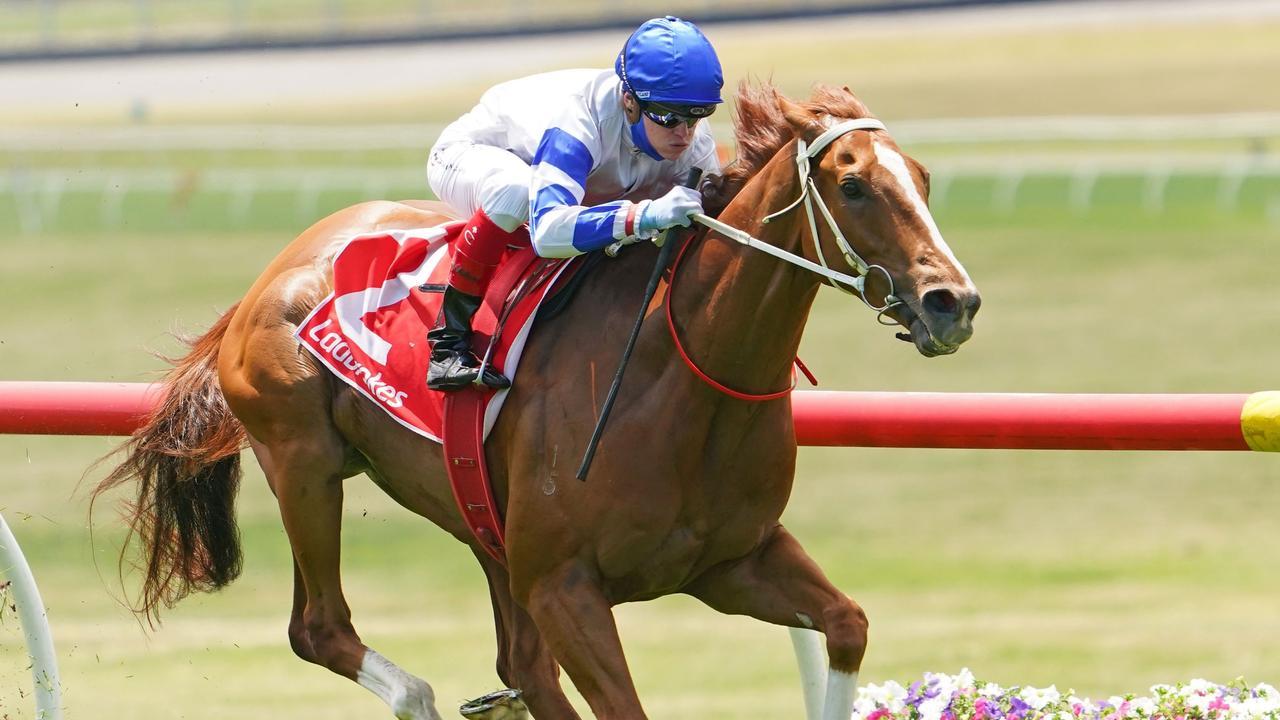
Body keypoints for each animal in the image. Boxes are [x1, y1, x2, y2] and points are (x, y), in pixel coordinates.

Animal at [94, 79, 977, 717]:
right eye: (854, 186)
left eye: (925, 179)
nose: (952, 303)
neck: (683, 377)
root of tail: (272, 275)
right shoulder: (566, 588)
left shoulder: (732, 559)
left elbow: (846, 623)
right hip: (304, 463)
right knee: (320, 628)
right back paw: (414, 697)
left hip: (482, 523)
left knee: (518, 665)